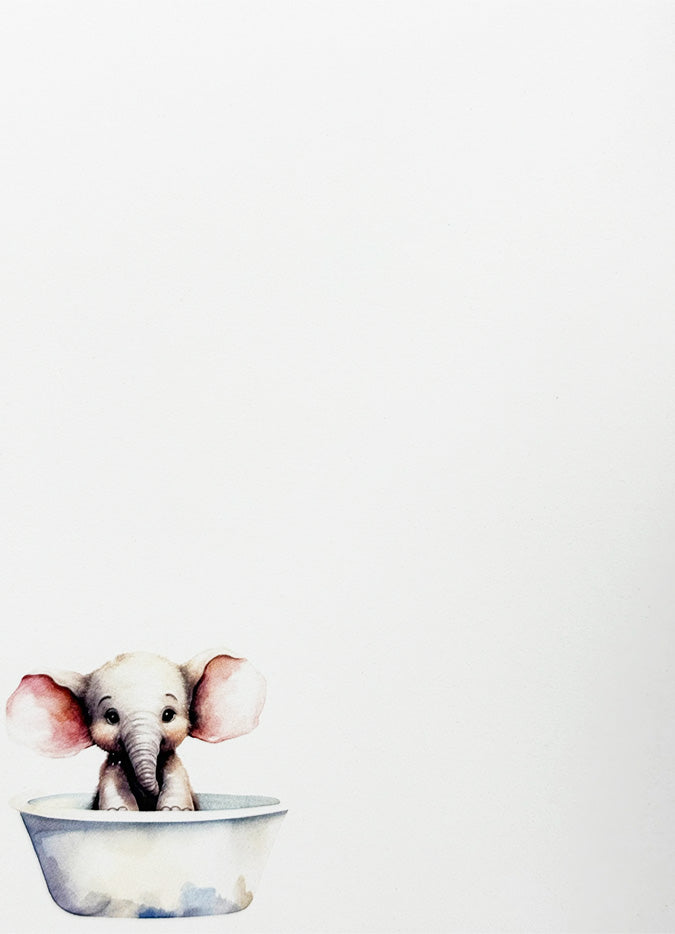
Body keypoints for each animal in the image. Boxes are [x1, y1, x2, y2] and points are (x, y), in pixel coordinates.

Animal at [5, 649, 266, 811]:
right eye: (111, 717)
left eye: (168, 715)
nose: (150, 794)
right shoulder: (111, 768)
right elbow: (112, 786)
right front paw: (118, 811)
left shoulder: (174, 766)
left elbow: (176, 779)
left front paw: (174, 810)